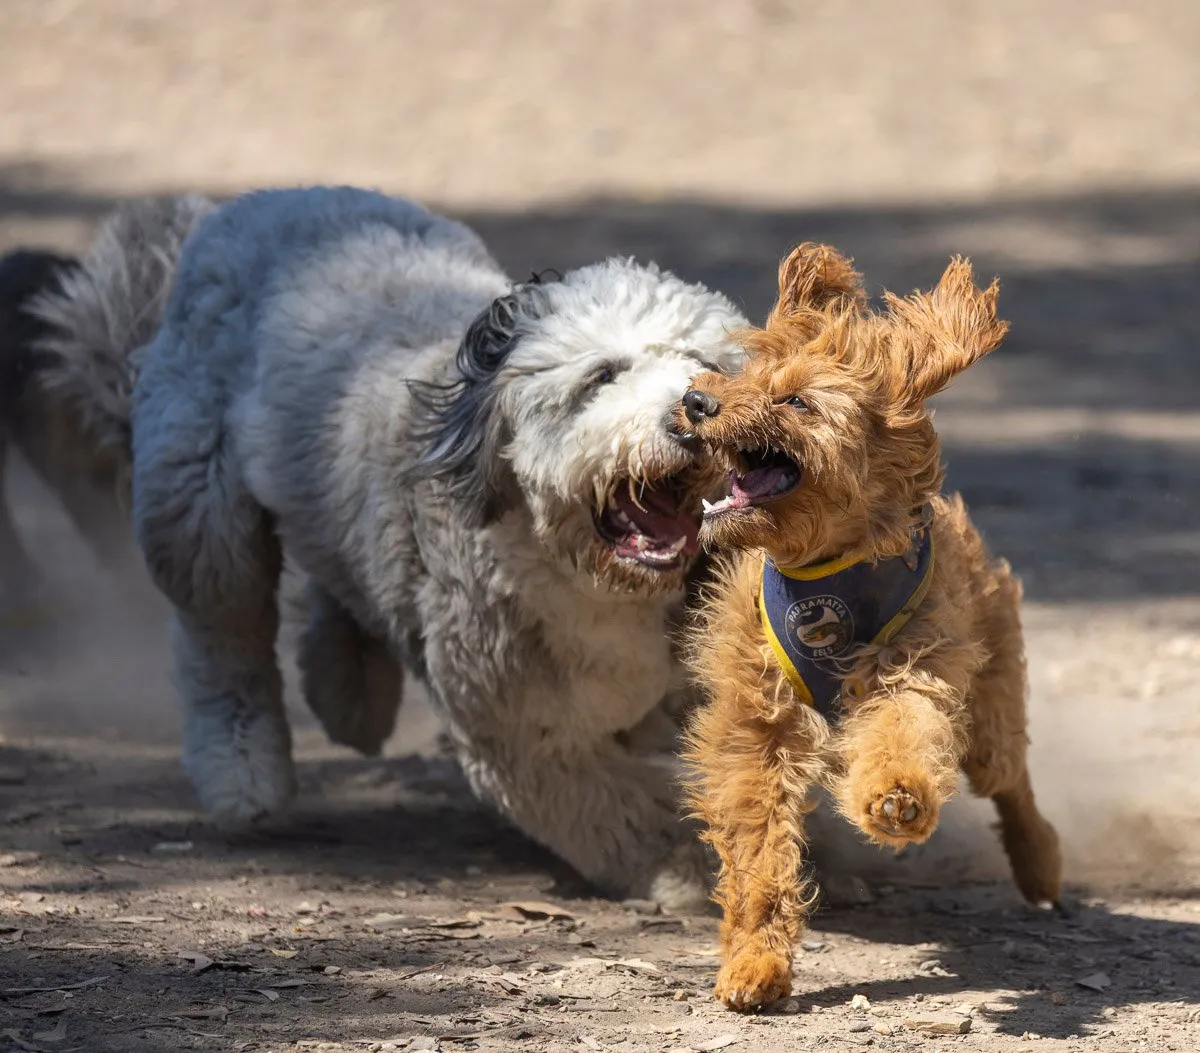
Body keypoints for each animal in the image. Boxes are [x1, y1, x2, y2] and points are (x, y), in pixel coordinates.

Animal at [42, 187, 744, 906]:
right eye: (603, 375)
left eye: (710, 370)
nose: (692, 411)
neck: (591, 581)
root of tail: (251, 204)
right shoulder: (525, 735)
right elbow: (629, 814)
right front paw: (691, 868)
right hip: (201, 511)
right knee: (221, 640)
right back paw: (243, 770)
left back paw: (348, 689)